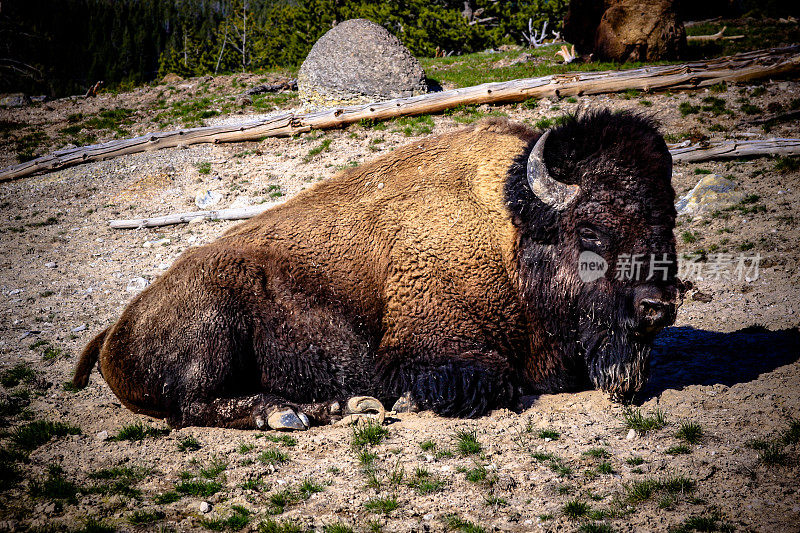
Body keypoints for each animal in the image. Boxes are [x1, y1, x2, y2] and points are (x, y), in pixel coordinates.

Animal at [70, 110, 680, 430]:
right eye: (591, 230)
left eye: (668, 217)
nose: (657, 307)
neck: (511, 232)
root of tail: (114, 329)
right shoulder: (434, 350)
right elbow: (488, 384)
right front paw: (404, 401)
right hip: (213, 331)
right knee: (194, 406)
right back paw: (298, 413)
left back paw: (342, 407)